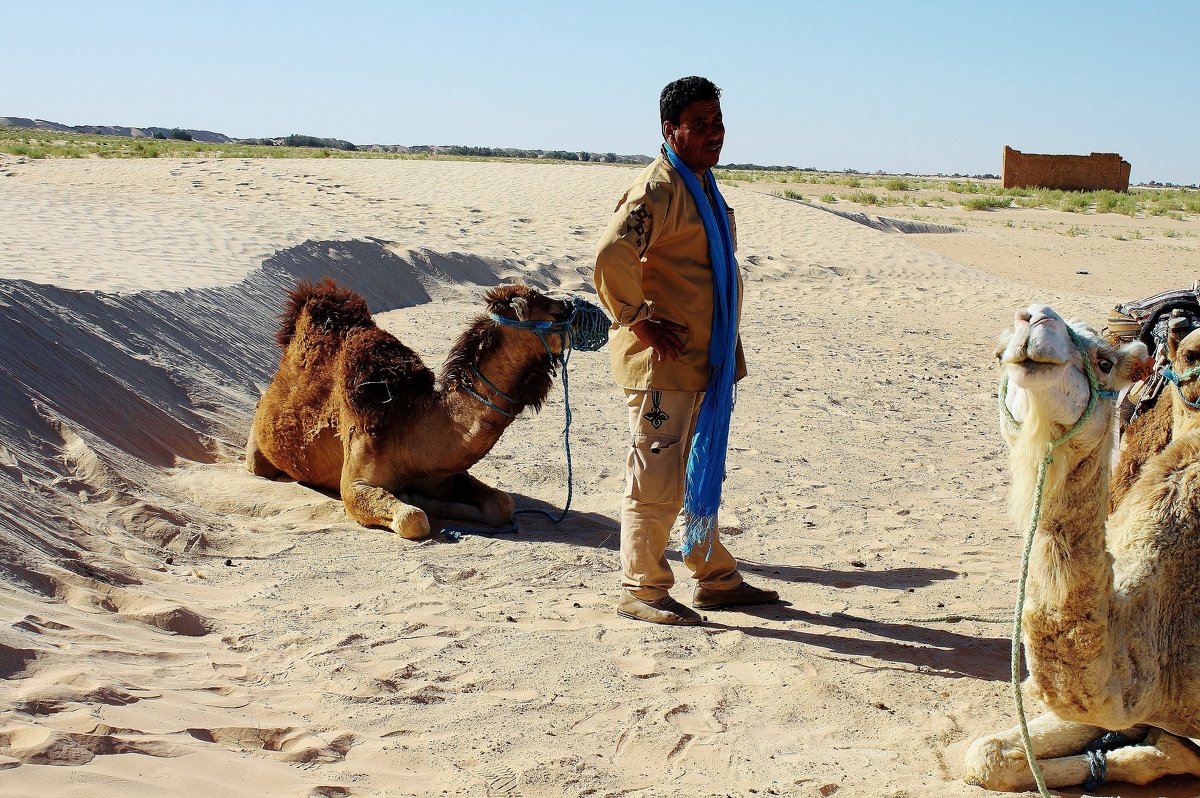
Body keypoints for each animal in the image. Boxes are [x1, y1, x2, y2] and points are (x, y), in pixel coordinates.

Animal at [246, 277, 583, 537]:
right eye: (555, 311)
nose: (579, 311)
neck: (405, 419)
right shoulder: (354, 482)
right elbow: (413, 518)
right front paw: (414, 501)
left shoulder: (445, 473)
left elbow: (503, 505)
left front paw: (420, 496)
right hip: (257, 452)